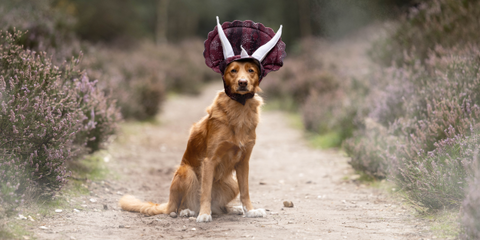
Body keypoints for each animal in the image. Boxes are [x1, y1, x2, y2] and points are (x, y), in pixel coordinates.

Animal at [117, 59, 266, 222]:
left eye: (251, 70)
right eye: (233, 70)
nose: (242, 82)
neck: (239, 109)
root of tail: (169, 203)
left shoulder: (243, 162)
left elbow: (245, 192)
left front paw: (250, 211)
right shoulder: (209, 161)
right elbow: (205, 192)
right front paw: (204, 214)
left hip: (232, 183)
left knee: (220, 207)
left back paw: (232, 209)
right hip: (186, 171)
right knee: (179, 206)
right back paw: (188, 211)